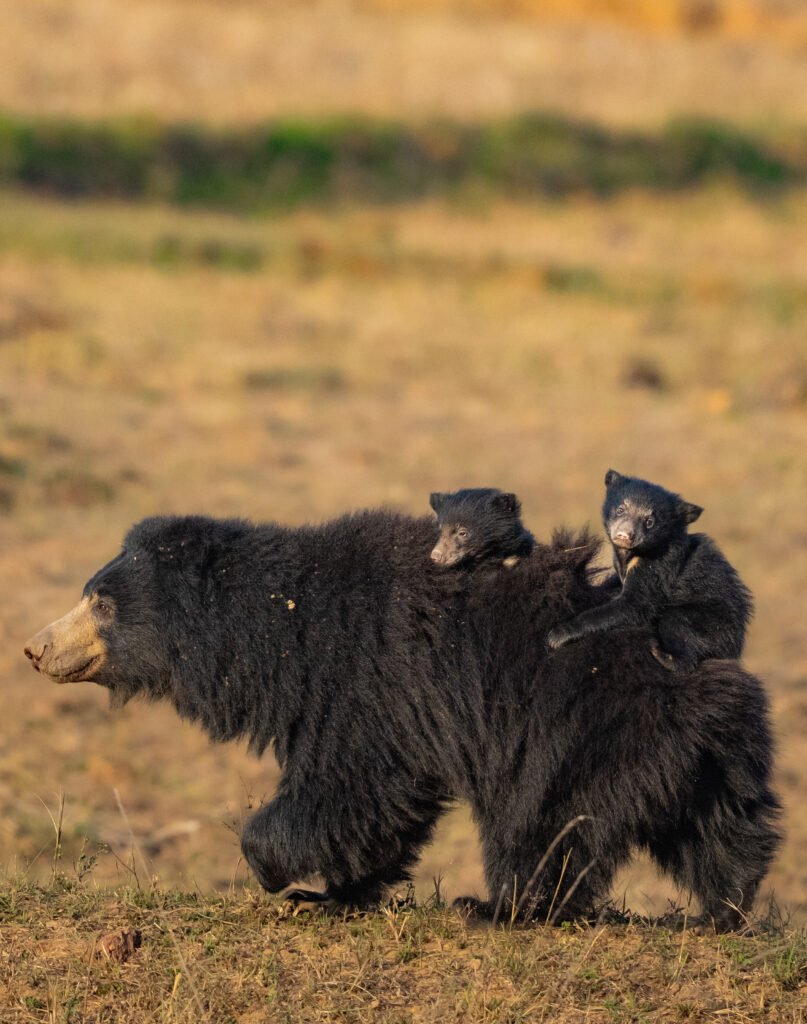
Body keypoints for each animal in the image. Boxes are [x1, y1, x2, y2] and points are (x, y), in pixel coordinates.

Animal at [25, 509, 782, 929]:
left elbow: (351, 787)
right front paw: (331, 895)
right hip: (702, 763)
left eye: (101, 604)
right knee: (720, 833)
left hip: (578, 736)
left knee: (539, 825)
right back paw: (726, 911)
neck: (280, 627)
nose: (35, 648)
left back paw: (502, 909)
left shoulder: (365, 683)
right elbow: (378, 810)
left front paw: (277, 874)